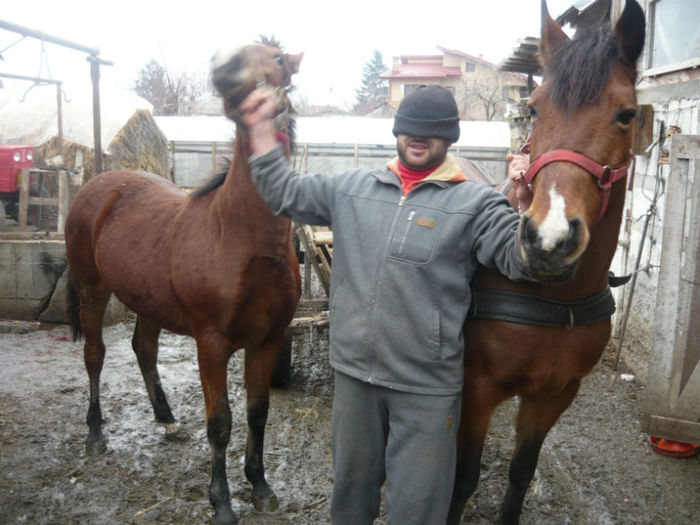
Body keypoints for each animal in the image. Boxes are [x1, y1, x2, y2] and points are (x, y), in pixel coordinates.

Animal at [65, 39, 304, 520]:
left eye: (278, 59)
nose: (225, 67)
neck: (241, 238)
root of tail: (99, 183)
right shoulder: (211, 343)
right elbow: (220, 422)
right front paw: (222, 501)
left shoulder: (268, 339)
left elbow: (258, 412)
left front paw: (260, 485)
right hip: (92, 290)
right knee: (96, 356)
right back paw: (96, 432)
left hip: (148, 302)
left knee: (143, 349)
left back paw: (166, 418)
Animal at [448, 2, 644, 520]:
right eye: (534, 109)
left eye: (627, 114)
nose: (549, 239)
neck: (557, 297)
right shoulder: (478, 388)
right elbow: (463, 479)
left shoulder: (554, 395)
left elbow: (520, 473)